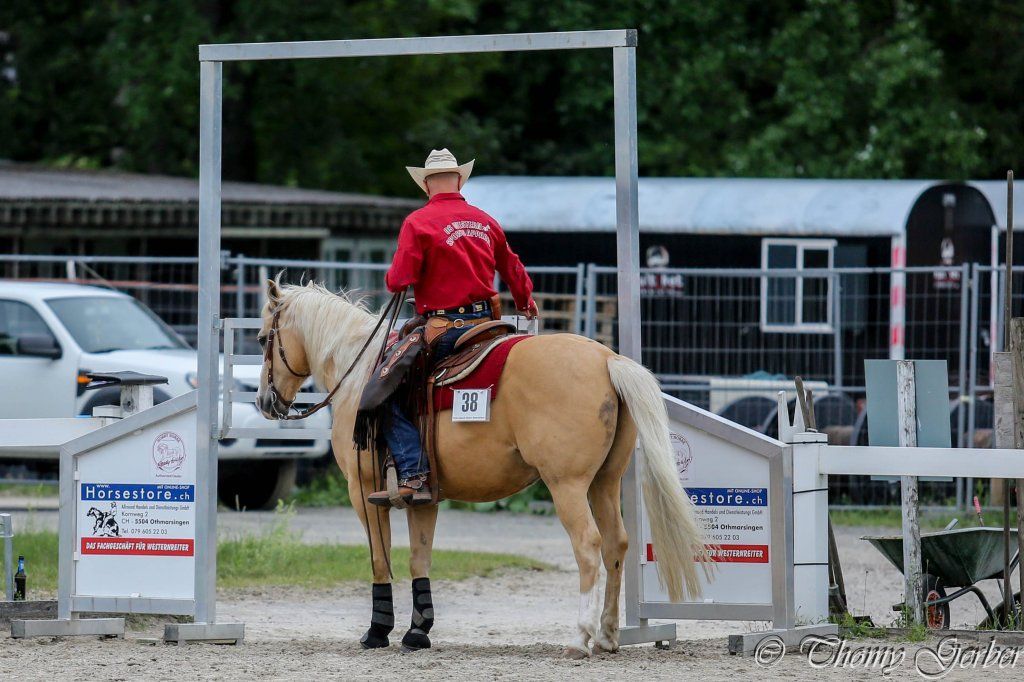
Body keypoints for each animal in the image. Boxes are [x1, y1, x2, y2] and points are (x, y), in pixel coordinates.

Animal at [255, 279, 708, 657]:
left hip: (566, 485)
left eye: (261, 338)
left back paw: (581, 638)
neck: (359, 368)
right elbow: (419, 559)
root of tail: (608, 359)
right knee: (616, 544)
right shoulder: (424, 497)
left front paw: (378, 632)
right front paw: (418, 632)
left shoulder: (363, 490)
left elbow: (380, 560)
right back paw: (610, 635)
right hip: (604, 482)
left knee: (588, 546)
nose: (265, 401)